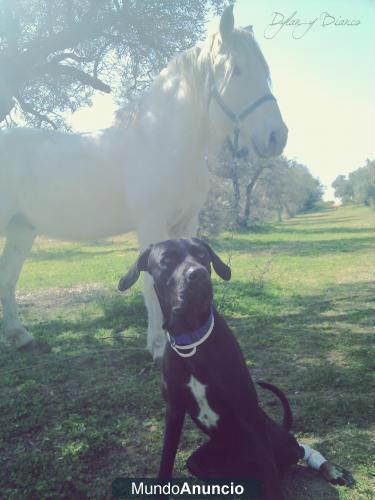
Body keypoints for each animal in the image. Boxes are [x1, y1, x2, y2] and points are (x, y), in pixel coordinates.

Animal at [0, 7, 288, 360]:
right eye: (236, 71)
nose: (276, 137)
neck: (165, 142)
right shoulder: (151, 225)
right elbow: (152, 284)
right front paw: (159, 346)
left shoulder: (187, 223)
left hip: (21, 229)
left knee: (7, 278)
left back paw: (20, 336)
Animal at [119, 238, 354, 500]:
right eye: (167, 260)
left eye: (202, 255)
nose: (198, 274)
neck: (192, 340)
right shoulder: (174, 411)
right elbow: (165, 463)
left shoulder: (247, 413)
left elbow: (271, 474)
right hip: (200, 459)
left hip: (273, 438)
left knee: (297, 450)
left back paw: (329, 469)